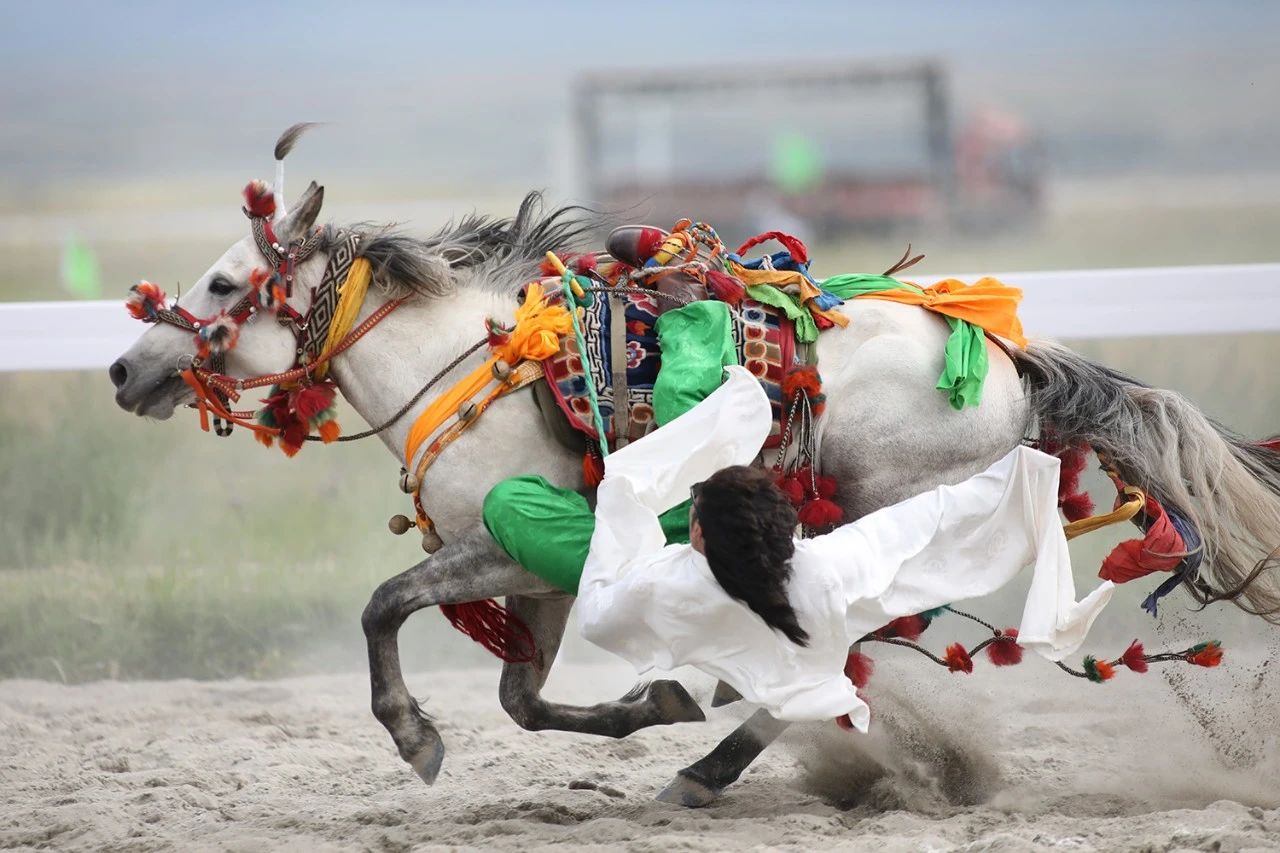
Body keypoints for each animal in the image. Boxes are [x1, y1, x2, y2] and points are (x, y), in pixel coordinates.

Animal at [112, 178, 1280, 804]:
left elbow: (382, 607)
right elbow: (523, 699)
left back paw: (714, 767)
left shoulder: (502, 546)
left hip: (883, 513)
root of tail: (1012, 367)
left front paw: (413, 734)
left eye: (224, 284)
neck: (472, 365)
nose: (125, 370)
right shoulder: (536, 579)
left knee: (842, 639)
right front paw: (654, 701)